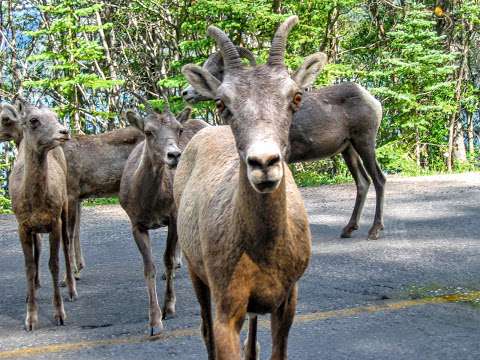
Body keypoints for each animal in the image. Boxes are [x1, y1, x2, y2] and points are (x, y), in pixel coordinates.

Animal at [7, 102, 77, 332]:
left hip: (65, 209)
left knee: (66, 245)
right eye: (33, 120)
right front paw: (30, 320)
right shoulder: (23, 226)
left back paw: (72, 291)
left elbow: (54, 264)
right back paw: (32, 291)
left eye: (55, 116)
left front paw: (60, 315)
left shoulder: (54, 222)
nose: (63, 132)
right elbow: (29, 268)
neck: (36, 202)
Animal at [119, 100, 207, 334]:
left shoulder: (172, 217)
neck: (151, 203)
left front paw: (169, 308)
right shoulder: (137, 224)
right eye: (148, 131)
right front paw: (154, 323)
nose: (174, 155)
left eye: (179, 129)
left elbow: (166, 259)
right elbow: (149, 268)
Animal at [174, 15, 320, 358]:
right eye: (222, 103)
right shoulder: (227, 310)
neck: (262, 250)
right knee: (205, 332)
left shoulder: (286, 302)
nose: (264, 163)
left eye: (295, 97)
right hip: (196, 275)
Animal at [181, 50, 386, 239]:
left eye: (216, 70)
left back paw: (374, 231)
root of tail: (371, 99)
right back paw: (348, 229)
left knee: (379, 179)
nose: (185, 93)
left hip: (364, 142)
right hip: (348, 150)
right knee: (363, 182)